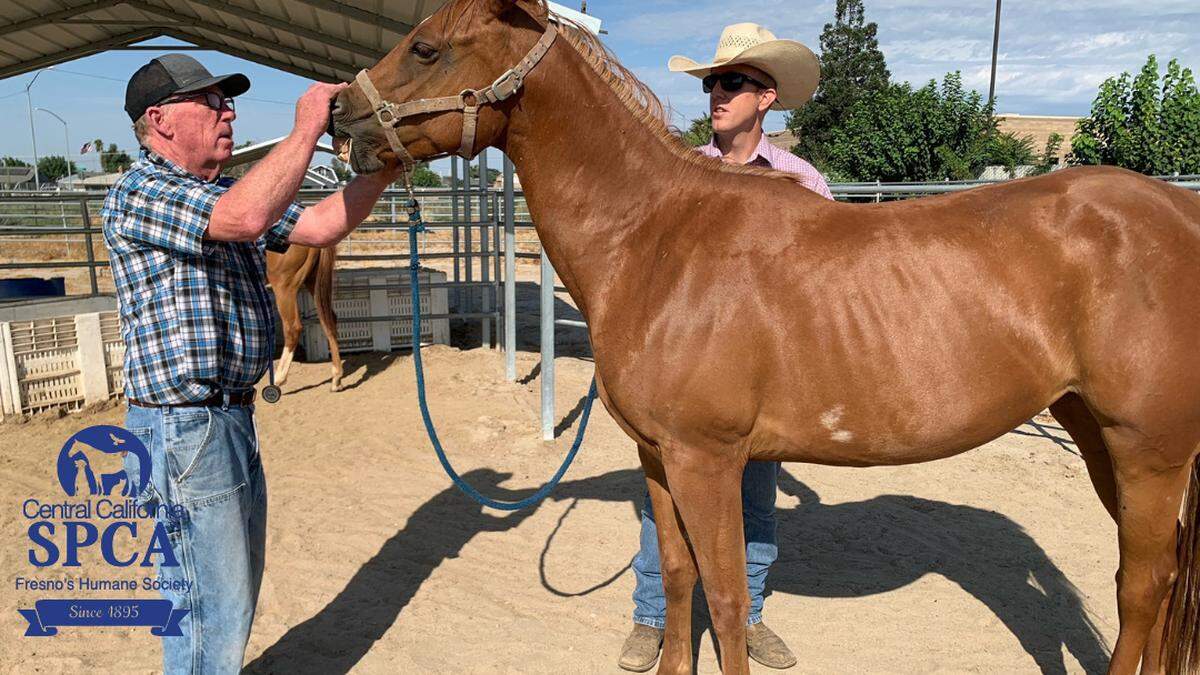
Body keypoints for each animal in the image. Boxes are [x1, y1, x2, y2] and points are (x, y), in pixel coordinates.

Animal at [267, 244, 343, 392]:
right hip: (314, 281)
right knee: (329, 320)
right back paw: (336, 379)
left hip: (284, 287)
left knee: (292, 329)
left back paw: (278, 379)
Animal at [329, 1, 1200, 672]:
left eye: (426, 47)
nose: (339, 115)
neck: (654, 239)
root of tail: (1178, 211)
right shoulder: (659, 457)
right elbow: (679, 577)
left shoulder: (706, 459)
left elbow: (726, 593)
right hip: (1095, 433)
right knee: (1157, 583)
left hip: (1147, 448)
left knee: (1141, 585)